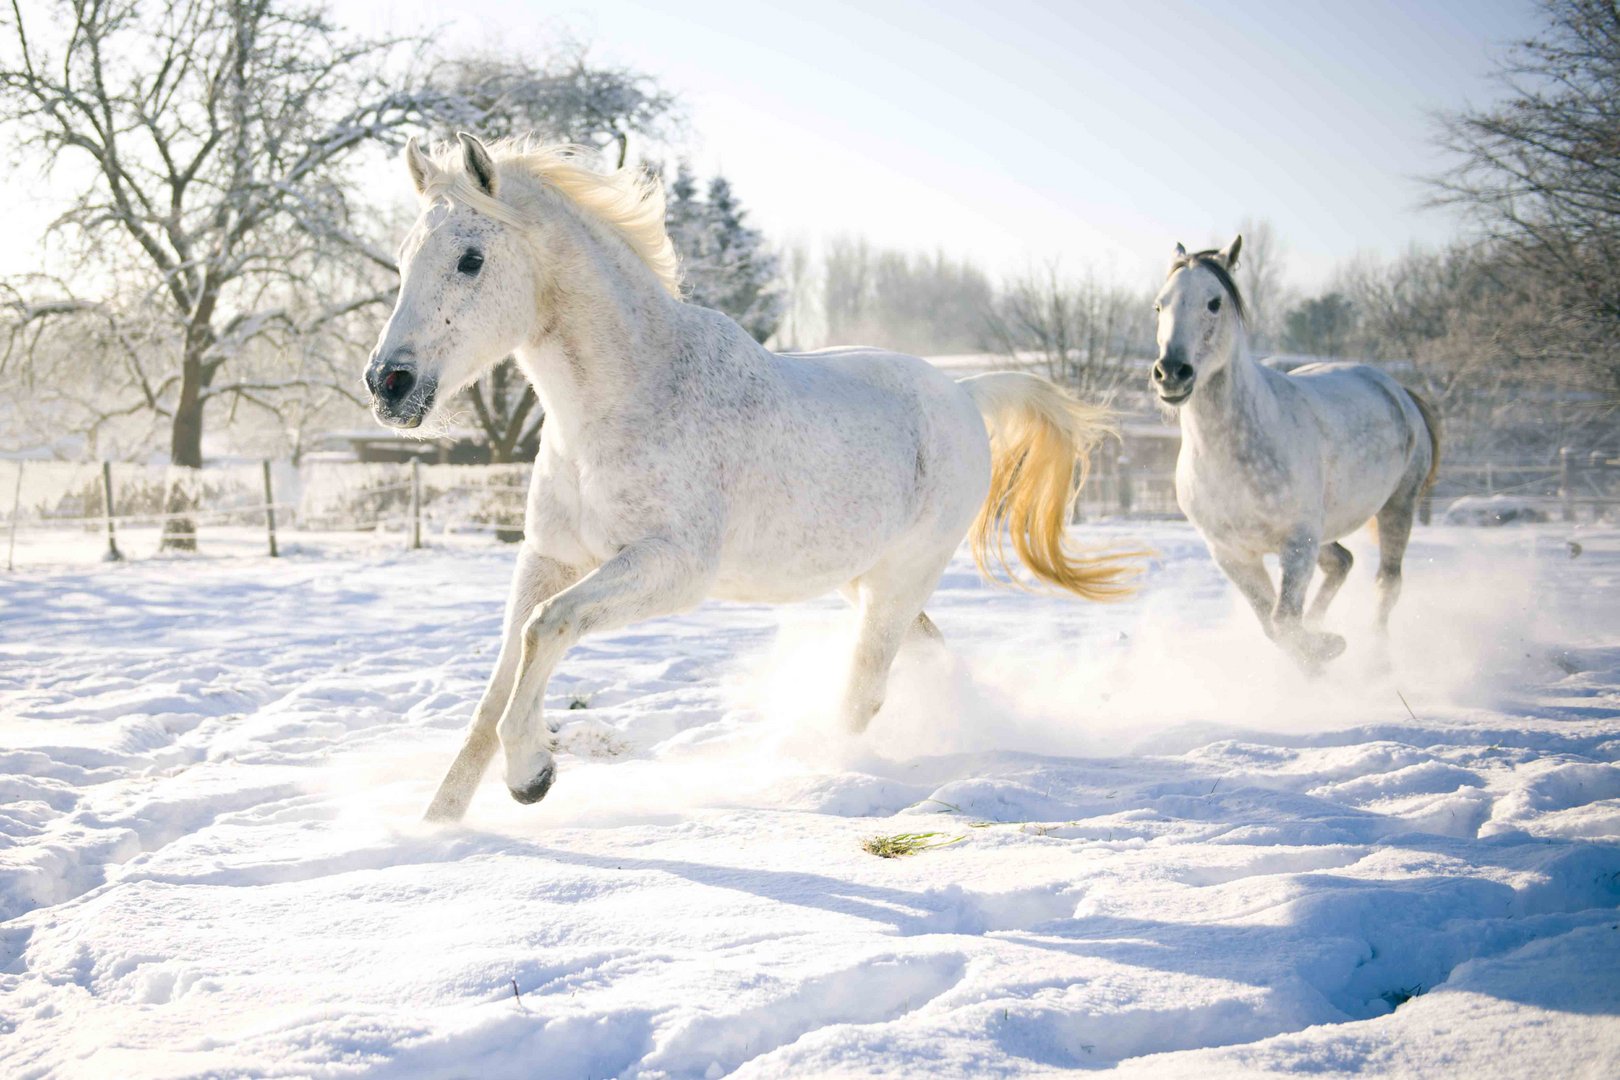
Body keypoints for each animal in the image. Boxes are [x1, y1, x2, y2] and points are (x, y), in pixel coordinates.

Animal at [367, 135, 1140, 819]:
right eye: (403, 259)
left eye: (470, 259)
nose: (387, 384)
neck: (629, 397)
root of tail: (964, 393)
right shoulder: (548, 558)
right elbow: (497, 687)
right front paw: (436, 824)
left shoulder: (672, 567)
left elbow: (545, 630)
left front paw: (531, 775)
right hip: (863, 579)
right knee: (925, 657)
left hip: (901, 579)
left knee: (864, 690)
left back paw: (822, 778)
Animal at [1153, 238, 1445, 667]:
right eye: (1159, 306)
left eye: (1214, 302)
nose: (1172, 373)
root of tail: (1398, 389)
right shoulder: (1232, 555)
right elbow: (1273, 625)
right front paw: (1319, 655)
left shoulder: (1297, 544)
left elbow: (1284, 619)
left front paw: (1326, 649)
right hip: (1327, 532)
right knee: (1342, 563)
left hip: (1398, 506)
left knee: (1386, 583)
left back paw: (1376, 664)